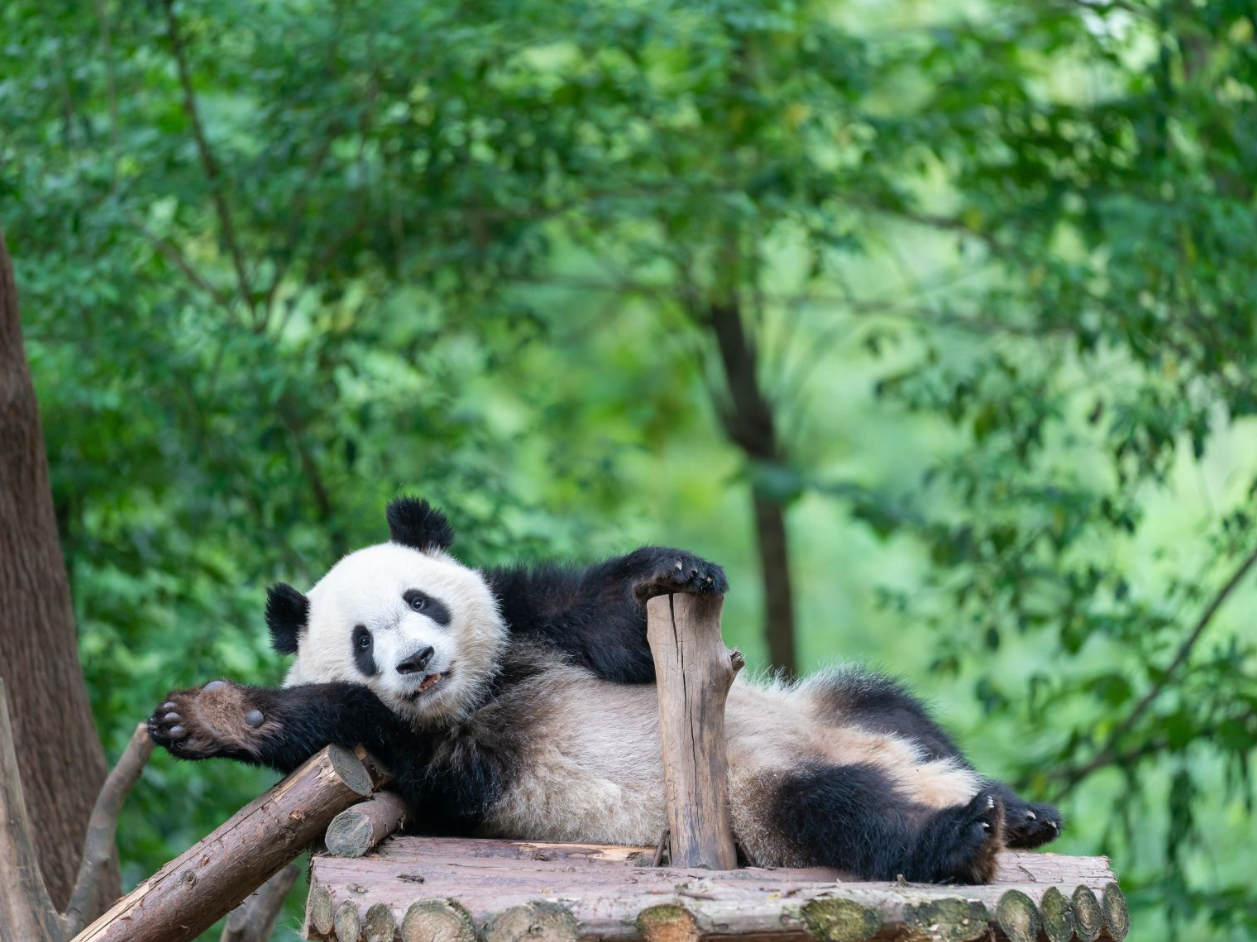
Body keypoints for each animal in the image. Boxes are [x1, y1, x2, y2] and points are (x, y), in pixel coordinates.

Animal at [148, 497, 1060, 883]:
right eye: (364, 643)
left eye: (421, 602)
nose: (416, 662)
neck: (479, 690)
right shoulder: (447, 763)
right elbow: (358, 722)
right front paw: (204, 717)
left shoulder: (531, 618)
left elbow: (615, 626)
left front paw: (674, 571)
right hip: (753, 802)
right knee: (839, 812)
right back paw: (962, 836)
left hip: (831, 709)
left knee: (895, 710)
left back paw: (1016, 811)